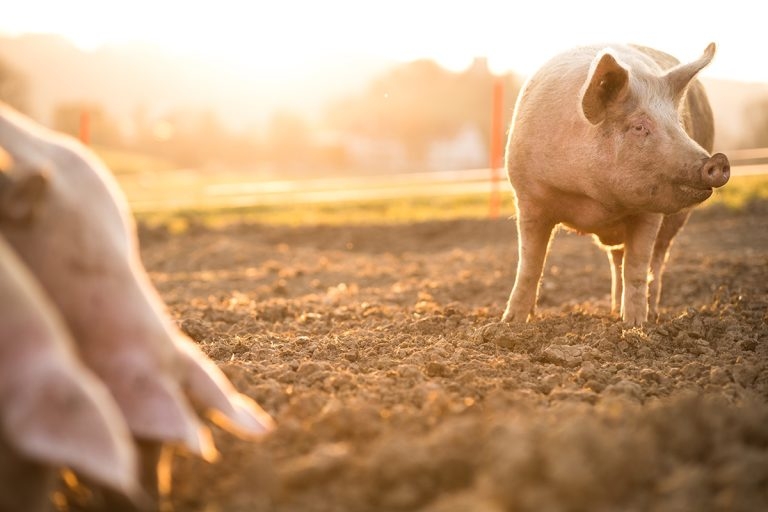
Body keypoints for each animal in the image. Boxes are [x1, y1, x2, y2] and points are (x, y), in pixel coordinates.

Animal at [501, 43, 730, 326]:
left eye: (678, 124)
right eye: (639, 127)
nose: (717, 161)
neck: (593, 198)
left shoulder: (650, 210)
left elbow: (637, 267)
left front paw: (635, 325)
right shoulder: (528, 198)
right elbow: (530, 263)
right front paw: (511, 322)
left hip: (675, 222)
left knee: (655, 260)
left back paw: (648, 314)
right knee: (617, 258)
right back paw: (612, 311)